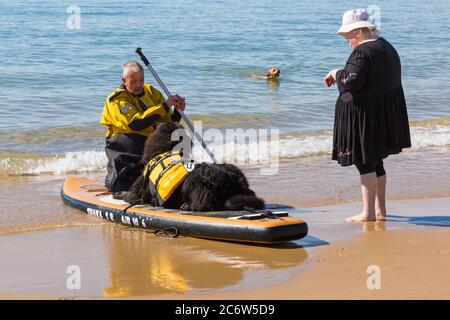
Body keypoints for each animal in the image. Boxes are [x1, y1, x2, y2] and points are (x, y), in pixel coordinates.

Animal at [123, 123, 264, 212]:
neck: (166, 149)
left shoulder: (140, 185)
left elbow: (132, 195)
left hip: (195, 180)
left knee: (205, 203)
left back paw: (188, 206)